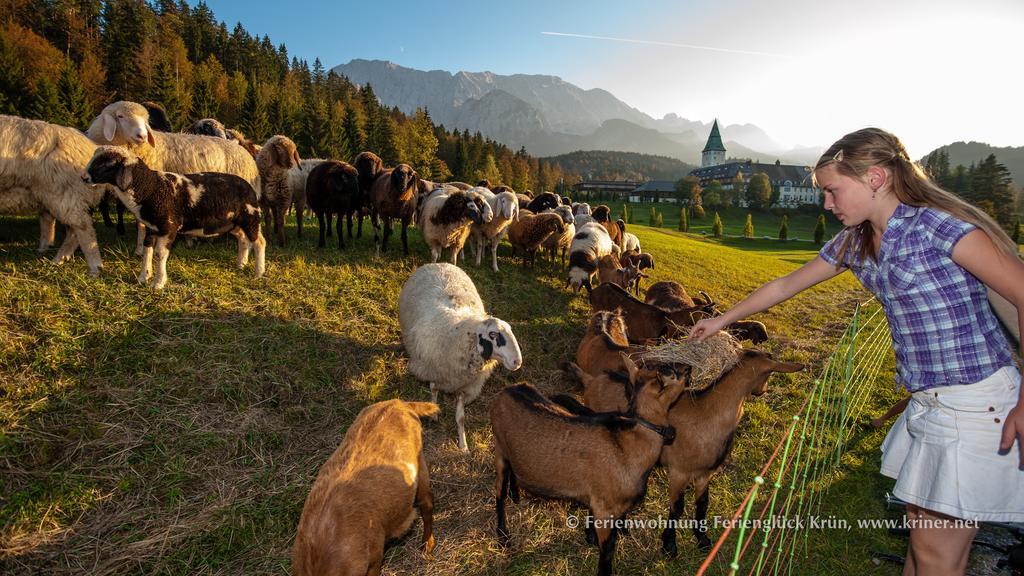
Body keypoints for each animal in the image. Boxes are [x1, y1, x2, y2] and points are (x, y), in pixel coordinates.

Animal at [0, 114, 103, 272]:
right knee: (71, 230)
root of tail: (89, 147)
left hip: (64, 193)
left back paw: (94, 266)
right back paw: (58, 259)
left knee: (83, 227)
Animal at [399, 262, 524, 450]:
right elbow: (433, 391)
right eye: (493, 334)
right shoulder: (434, 371)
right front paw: (434, 414)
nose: (517, 361)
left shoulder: (465, 386)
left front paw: (463, 445)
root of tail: (438, 263)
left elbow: (461, 418)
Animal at [489, 354, 684, 573]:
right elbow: (607, 549)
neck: (628, 444)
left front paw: (595, 535)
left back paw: (515, 496)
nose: (688, 370)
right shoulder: (603, 508)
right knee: (499, 494)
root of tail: (508, 390)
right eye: (672, 373)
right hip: (499, 449)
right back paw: (503, 537)